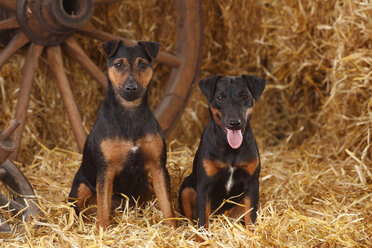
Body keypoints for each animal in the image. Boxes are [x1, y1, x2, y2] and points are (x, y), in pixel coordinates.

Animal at [69, 39, 177, 231]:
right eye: (118, 64)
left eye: (143, 65)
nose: (131, 88)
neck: (129, 114)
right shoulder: (106, 171)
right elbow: (103, 208)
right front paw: (101, 232)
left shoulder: (158, 167)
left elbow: (167, 205)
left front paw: (174, 229)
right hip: (80, 188)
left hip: (147, 187)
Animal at [177, 74, 264, 233]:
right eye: (220, 97)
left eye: (245, 96)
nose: (234, 123)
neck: (230, 149)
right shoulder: (204, 185)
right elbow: (202, 222)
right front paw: (202, 237)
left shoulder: (252, 183)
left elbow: (251, 218)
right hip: (186, 189)